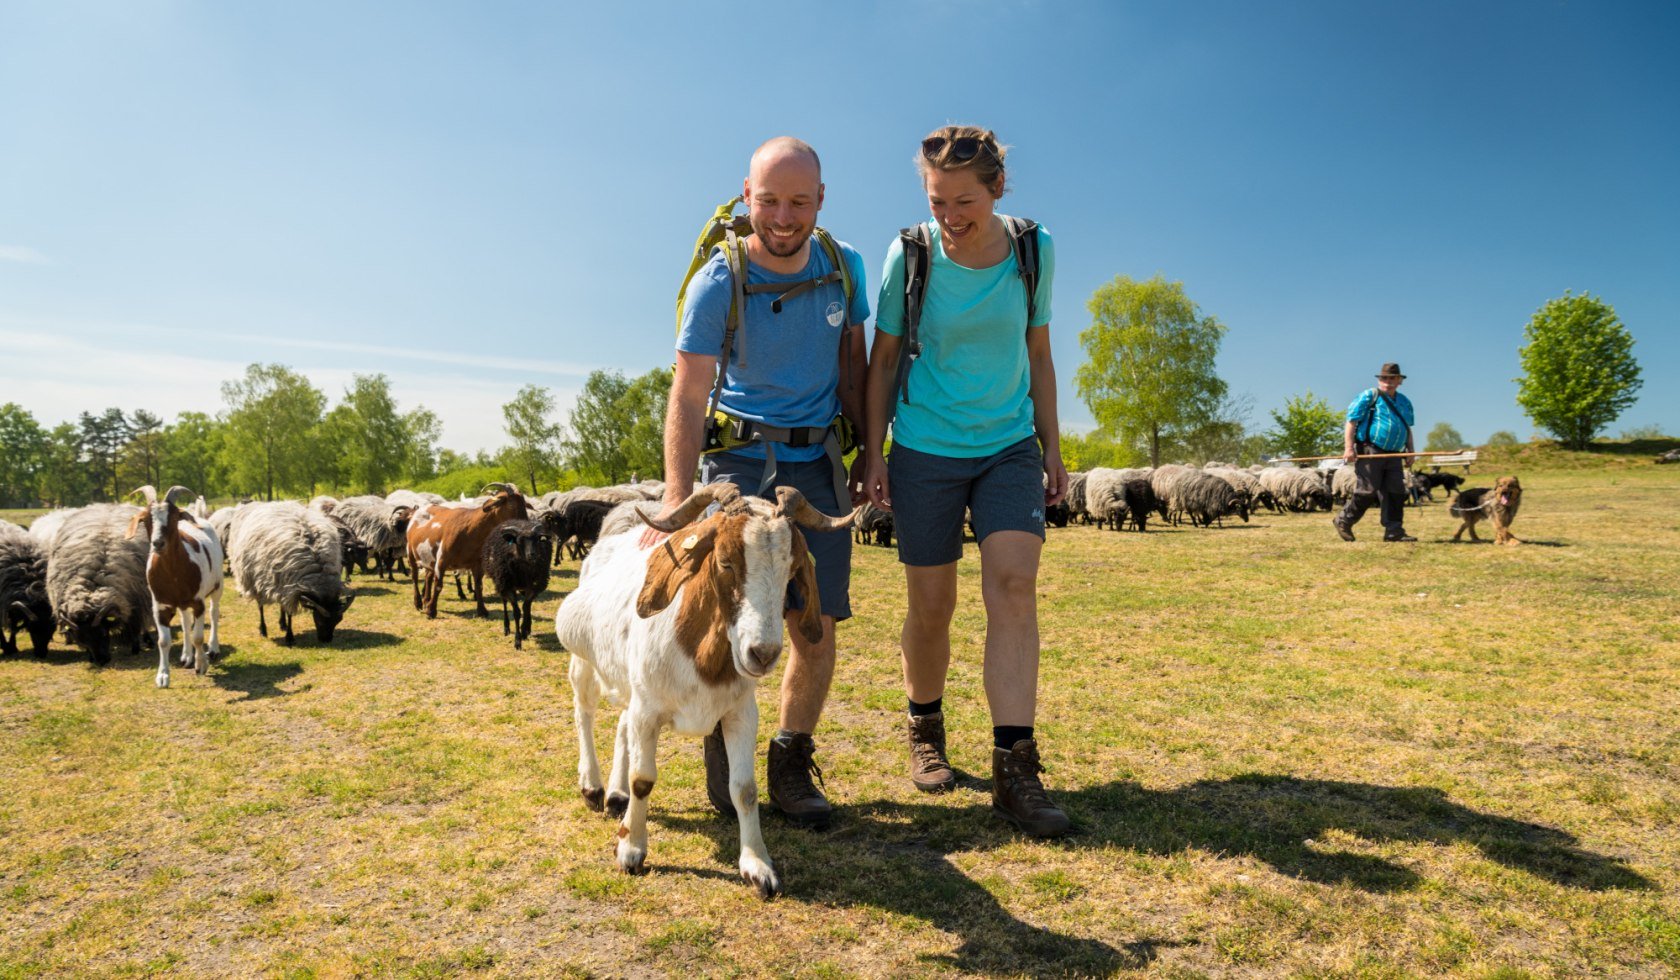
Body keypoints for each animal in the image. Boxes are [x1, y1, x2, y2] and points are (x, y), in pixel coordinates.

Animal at [45, 507, 151, 665]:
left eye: (103, 633)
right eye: (81, 639)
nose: (101, 660)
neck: (94, 583)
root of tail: (109, 506)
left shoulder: (136, 603)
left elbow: (134, 628)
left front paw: (135, 649)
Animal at [124, 484, 223, 689]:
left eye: (175, 516)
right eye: (145, 518)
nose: (158, 543)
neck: (174, 576)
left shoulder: (198, 602)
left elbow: (198, 636)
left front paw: (202, 665)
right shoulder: (159, 606)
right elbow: (163, 641)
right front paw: (162, 676)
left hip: (218, 586)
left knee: (214, 613)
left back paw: (213, 648)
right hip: (182, 603)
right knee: (185, 621)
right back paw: (186, 656)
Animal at [231, 507, 356, 645]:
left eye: (339, 620)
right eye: (319, 620)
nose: (326, 640)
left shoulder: (289, 587)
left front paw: (286, 628)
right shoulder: (292, 589)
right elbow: (290, 612)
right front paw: (289, 638)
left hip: (278, 582)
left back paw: (282, 623)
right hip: (255, 580)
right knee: (260, 605)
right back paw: (263, 629)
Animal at [483, 517, 554, 648]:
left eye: (537, 540)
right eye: (519, 541)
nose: (532, 554)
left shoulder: (533, 586)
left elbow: (526, 607)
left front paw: (524, 630)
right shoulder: (507, 586)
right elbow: (516, 612)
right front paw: (517, 641)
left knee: (528, 605)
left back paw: (527, 627)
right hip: (501, 583)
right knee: (504, 602)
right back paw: (506, 628)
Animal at [554, 484, 853, 894]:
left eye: (792, 570)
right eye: (725, 561)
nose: (762, 654)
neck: (698, 653)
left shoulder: (740, 712)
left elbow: (744, 788)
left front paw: (758, 866)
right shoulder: (648, 711)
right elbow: (643, 780)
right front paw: (631, 850)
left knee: (620, 723)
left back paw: (616, 796)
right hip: (584, 661)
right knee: (583, 711)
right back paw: (593, 786)